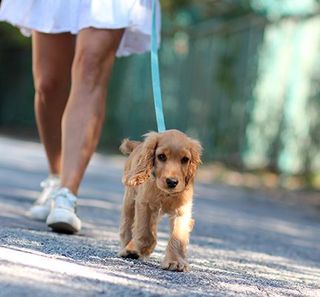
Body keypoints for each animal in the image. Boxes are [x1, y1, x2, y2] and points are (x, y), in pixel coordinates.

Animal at [117, 128, 202, 272]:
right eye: (161, 156)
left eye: (185, 159)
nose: (172, 182)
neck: (165, 194)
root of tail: (138, 145)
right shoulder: (144, 203)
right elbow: (145, 231)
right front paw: (144, 248)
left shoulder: (182, 211)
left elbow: (178, 236)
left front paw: (175, 262)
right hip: (129, 200)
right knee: (127, 225)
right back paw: (127, 249)